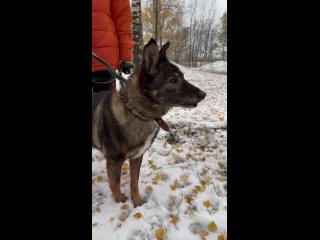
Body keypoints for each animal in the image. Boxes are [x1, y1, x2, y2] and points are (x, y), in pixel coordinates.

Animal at [92, 38, 208, 207]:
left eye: (183, 76)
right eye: (173, 80)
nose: (203, 94)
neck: (136, 112)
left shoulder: (137, 157)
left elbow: (134, 181)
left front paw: (137, 201)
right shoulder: (114, 161)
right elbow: (115, 183)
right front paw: (120, 200)